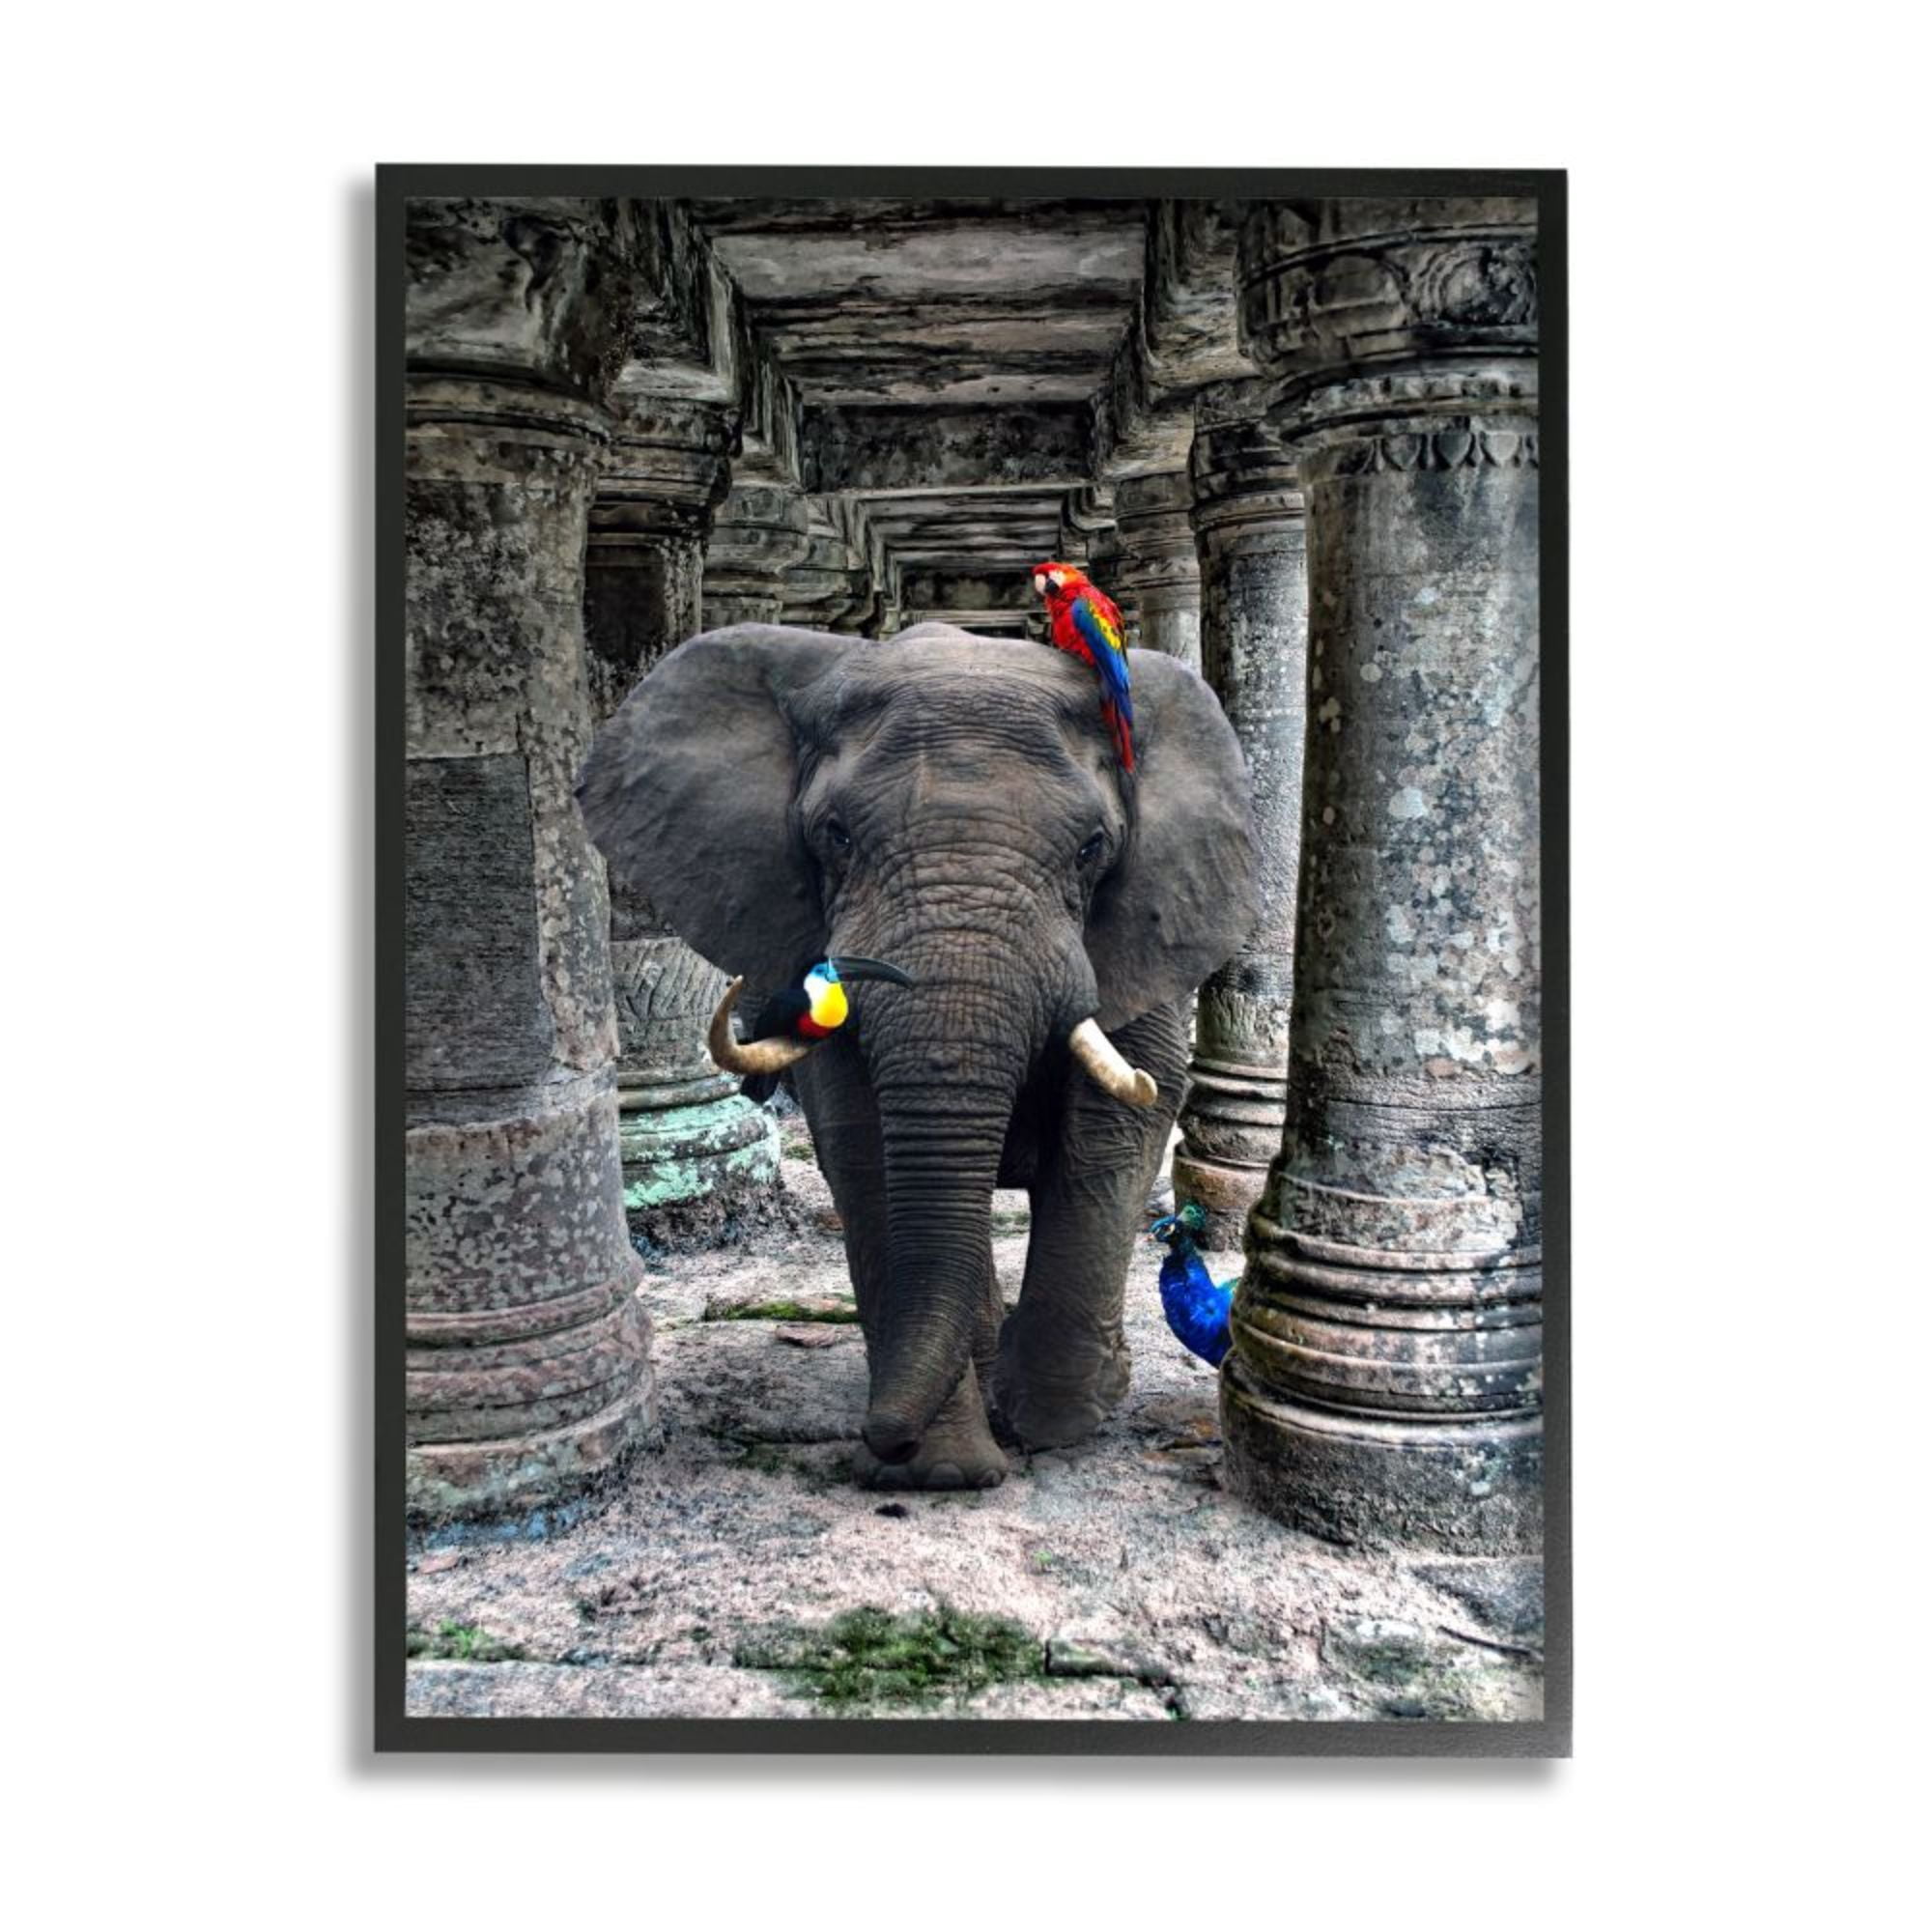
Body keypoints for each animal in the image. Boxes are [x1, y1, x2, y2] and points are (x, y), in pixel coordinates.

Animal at [578, 623, 1259, 1490]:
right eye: (834, 837)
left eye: (1091, 849)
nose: (884, 1437)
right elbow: (861, 1144)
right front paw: (946, 1471)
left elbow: (1117, 1124)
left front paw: (1055, 1425)